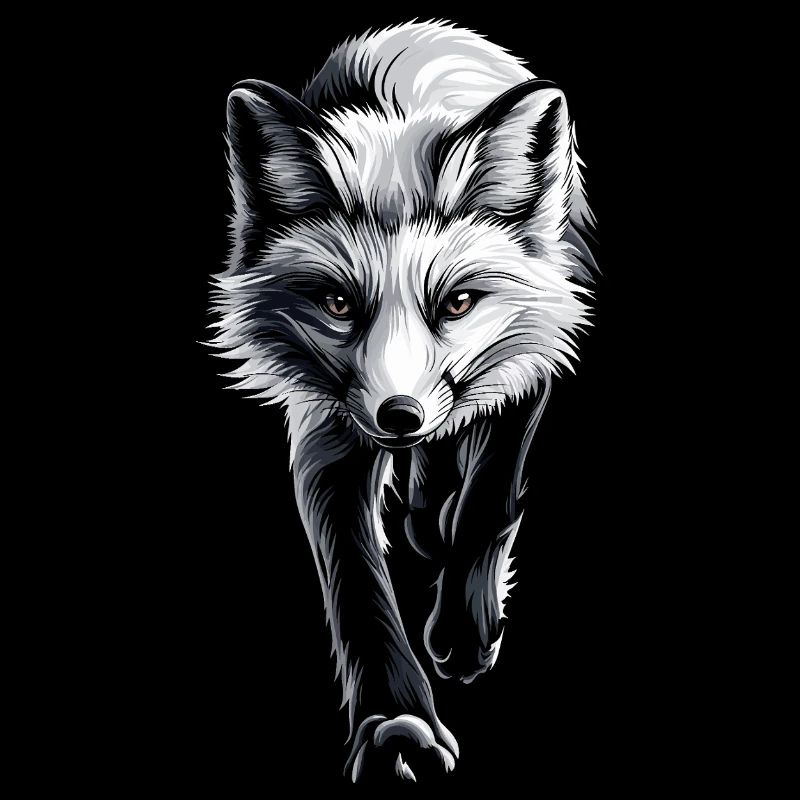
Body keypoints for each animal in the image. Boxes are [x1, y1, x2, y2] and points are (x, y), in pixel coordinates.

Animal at [209, 20, 597, 783]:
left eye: (458, 303)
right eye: (337, 304)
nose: (399, 415)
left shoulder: (533, 353)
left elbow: (488, 504)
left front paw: (465, 629)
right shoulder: (330, 426)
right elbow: (357, 581)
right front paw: (397, 725)